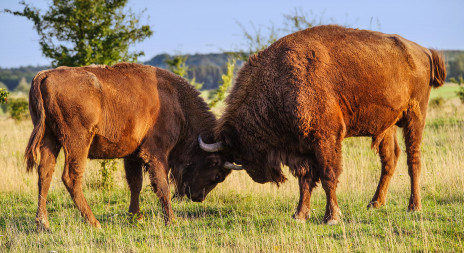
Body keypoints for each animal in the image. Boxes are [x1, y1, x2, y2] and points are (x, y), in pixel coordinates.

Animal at [24, 62, 231, 229]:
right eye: (218, 174)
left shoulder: (133, 156)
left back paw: (43, 224)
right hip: (77, 142)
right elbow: (162, 187)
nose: (198, 197)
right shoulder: (156, 154)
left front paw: (136, 218)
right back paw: (94, 223)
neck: (177, 103)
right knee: (71, 177)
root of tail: (44, 75)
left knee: (45, 173)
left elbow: (135, 184)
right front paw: (171, 221)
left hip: (49, 139)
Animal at [201, 24, 448, 224]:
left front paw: (332, 217)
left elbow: (329, 176)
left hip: (415, 116)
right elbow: (306, 180)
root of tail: (424, 51)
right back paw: (375, 203)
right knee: (389, 159)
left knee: (413, 159)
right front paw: (299, 215)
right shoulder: (301, 149)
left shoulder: (326, 139)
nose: (259, 177)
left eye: (240, 151)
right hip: (387, 125)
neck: (278, 81)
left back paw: (414, 207)